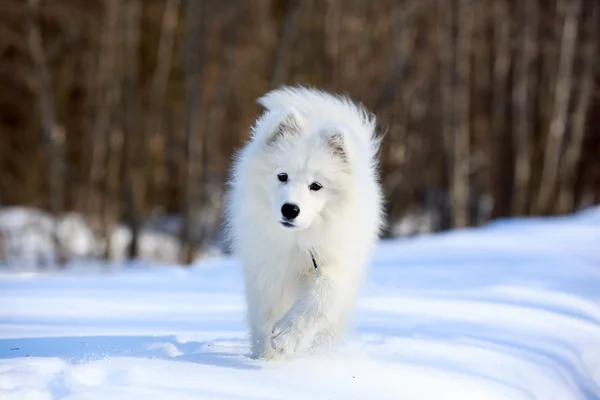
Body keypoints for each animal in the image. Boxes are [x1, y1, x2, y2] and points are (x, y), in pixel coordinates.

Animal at [225, 85, 384, 360]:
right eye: (282, 176)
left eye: (316, 186)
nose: (290, 209)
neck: (298, 241)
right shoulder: (266, 273)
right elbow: (264, 317)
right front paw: (266, 357)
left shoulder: (336, 266)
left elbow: (320, 298)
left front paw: (287, 337)